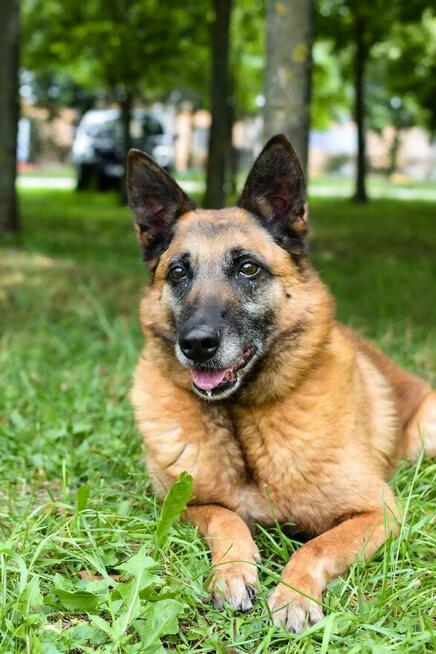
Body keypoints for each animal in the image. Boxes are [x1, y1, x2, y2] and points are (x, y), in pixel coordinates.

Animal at [126, 137, 436, 636]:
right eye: (177, 273)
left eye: (248, 268)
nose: (196, 344)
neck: (243, 421)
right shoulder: (177, 500)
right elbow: (224, 518)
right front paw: (233, 571)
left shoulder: (378, 511)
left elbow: (317, 546)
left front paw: (293, 596)